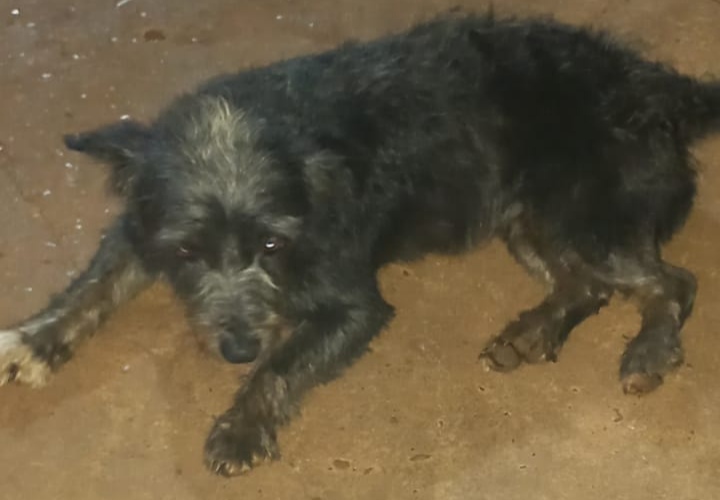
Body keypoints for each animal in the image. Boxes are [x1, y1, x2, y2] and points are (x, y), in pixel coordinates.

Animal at [1, 11, 717, 476]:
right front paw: (33, 341)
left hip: (581, 218)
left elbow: (285, 363)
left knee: (671, 281)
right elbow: (91, 286)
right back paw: (532, 333)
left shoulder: (355, 306)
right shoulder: (139, 226)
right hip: (528, 224)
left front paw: (242, 425)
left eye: (271, 245)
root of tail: (656, 83)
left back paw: (650, 351)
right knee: (589, 285)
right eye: (186, 253)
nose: (236, 349)